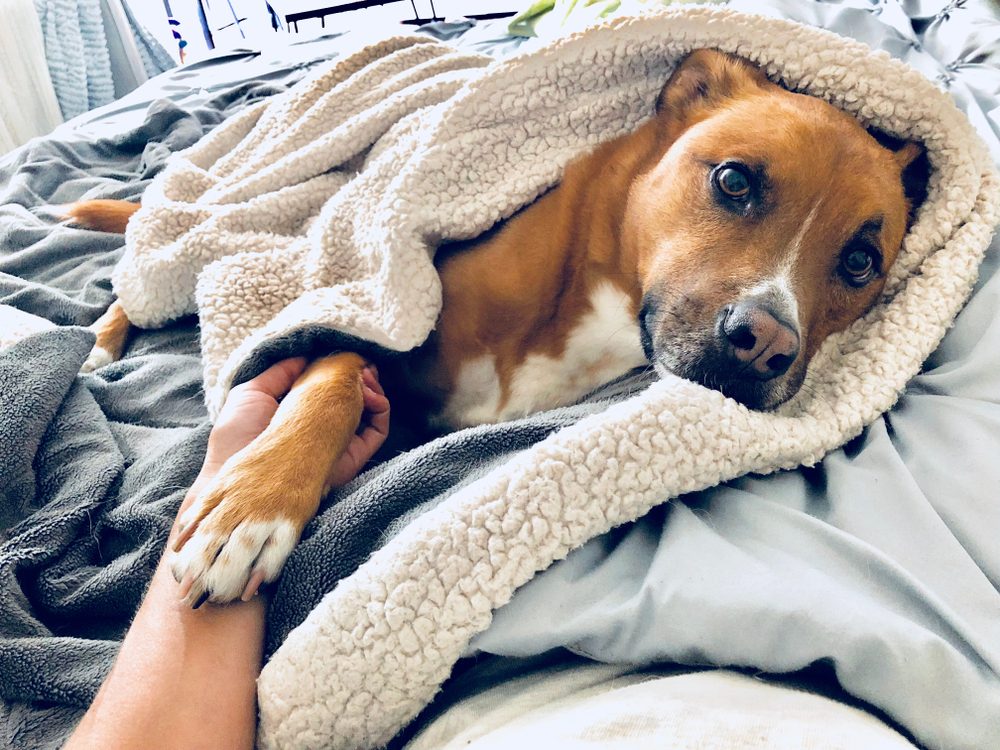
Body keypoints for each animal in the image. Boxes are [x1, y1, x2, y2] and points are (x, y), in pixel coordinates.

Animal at [68, 50, 920, 608]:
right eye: (734, 180)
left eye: (860, 261)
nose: (768, 345)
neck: (589, 291)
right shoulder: (379, 298)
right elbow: (332, 377)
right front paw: (253, 503)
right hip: (201, 235)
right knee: (140, 269)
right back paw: (103, 342)